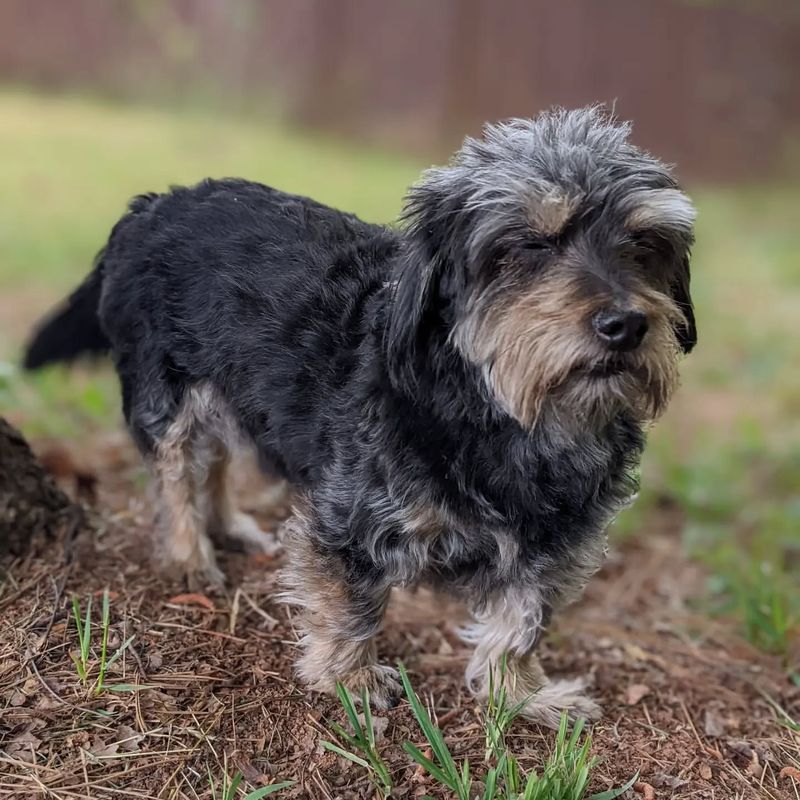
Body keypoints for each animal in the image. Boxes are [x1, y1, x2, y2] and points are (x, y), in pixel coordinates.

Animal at [26, 106, 692, 724]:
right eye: (532, 243)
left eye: (645, 243)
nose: (626, 325)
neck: (502, 413)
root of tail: (152, 204)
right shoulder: (348, 520)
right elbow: (352, 607)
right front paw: (352, 681)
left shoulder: (552, 546)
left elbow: (521, 622)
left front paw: (522, 696)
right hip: (169, 396)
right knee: (175, 475)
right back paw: (190, 556)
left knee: (212, 460)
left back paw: (228, 527)